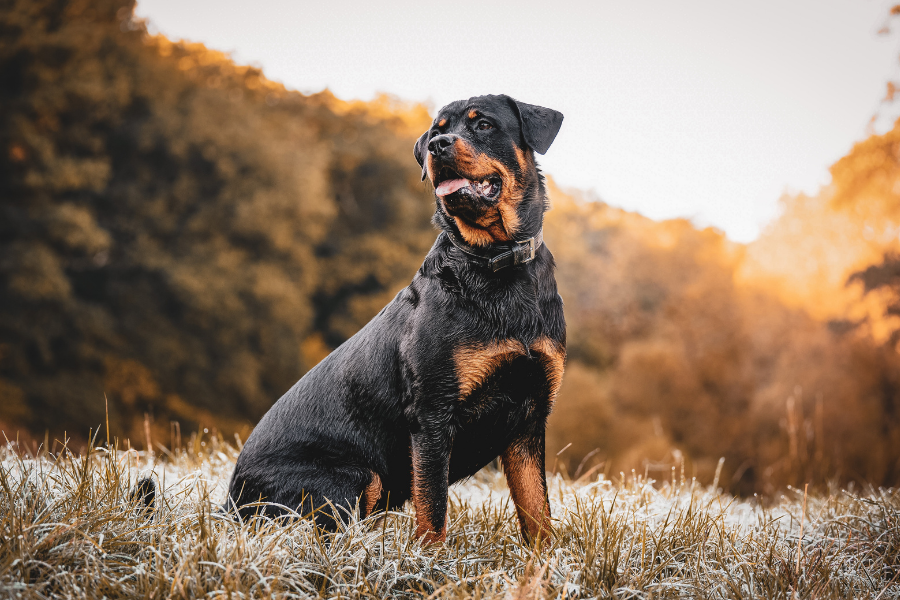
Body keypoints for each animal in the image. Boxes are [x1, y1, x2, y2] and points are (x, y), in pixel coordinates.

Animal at [227, 92, 564, 544]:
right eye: (437, 131)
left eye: (484, 125)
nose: (438, 146)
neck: (495, 262)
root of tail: (228, 504)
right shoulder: (433, 415)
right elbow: (433, 511)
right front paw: (430, 562)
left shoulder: (529, 416)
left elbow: (537, 511)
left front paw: (546, 561)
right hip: (355, 476)